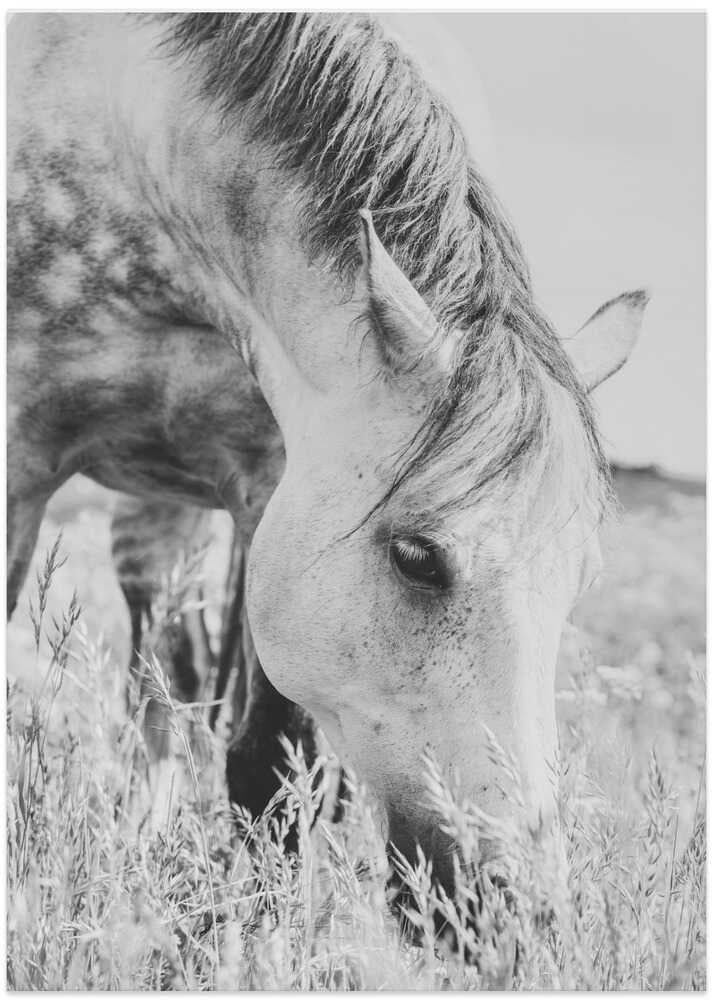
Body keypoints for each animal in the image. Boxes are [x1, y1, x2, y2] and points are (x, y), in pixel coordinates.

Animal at [7, 12, 647, 898]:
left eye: (578, 580)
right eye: (416, 557)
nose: (515, 902)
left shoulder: (270, 484)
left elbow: (267, 767)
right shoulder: (19, 462)